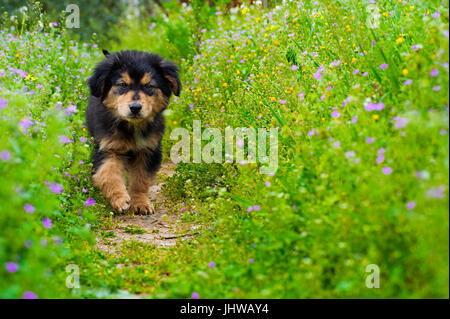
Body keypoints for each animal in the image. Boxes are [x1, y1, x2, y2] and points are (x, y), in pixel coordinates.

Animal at [86, 50, 181, 215]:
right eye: (122, 84)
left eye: (149, 86)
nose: (135, 107)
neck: (131, 127)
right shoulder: (107, 148)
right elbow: (108, 174)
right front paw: (120, 199)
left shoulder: (149, 150)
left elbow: (141, 180)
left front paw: (140, 203)